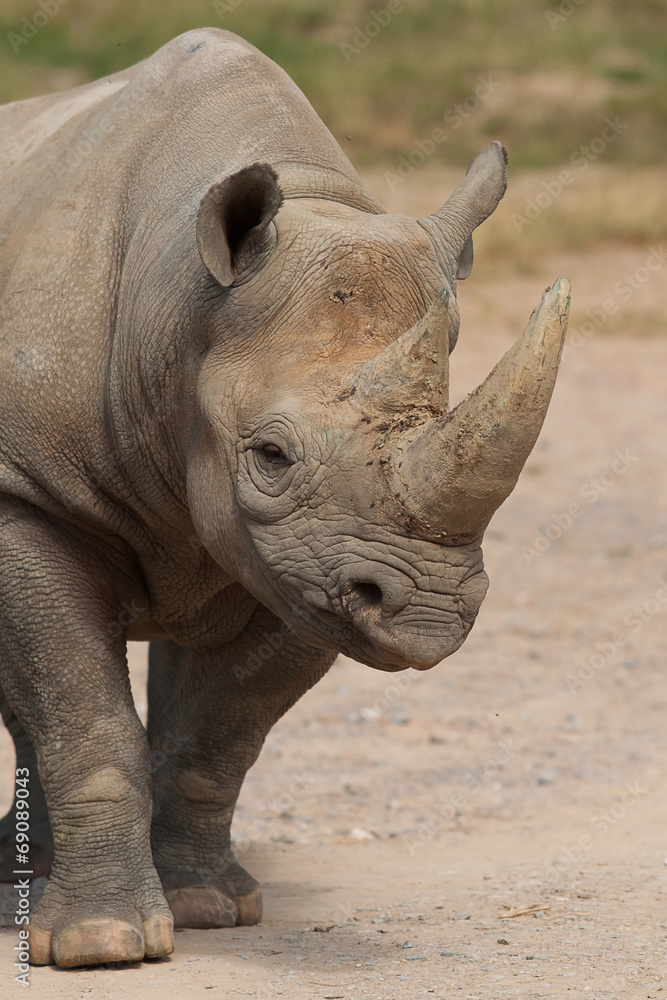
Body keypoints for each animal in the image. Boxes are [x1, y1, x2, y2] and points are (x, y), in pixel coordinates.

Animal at [0, 28, 569, 968]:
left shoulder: (312, 558)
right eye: (270, 455)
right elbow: (82, 707)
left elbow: (221, 731)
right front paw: (100, 944)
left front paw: (206, 909)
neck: (180, 303)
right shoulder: (26, 491)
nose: (428, 612)